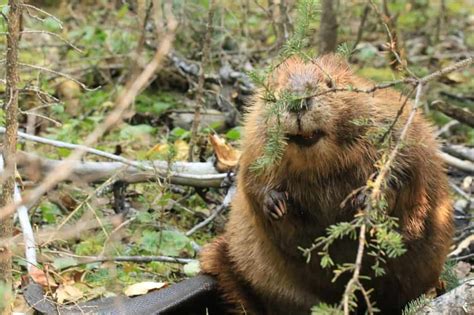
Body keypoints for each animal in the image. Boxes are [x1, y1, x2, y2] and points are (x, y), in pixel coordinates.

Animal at [198, 55, 454, 315]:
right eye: (276, 91)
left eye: (330, 83)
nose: (297, 103)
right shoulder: (254, 142)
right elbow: (252, 180)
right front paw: (276, 204)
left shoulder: (394, 123)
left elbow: (403, 170)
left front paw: (365, 199)